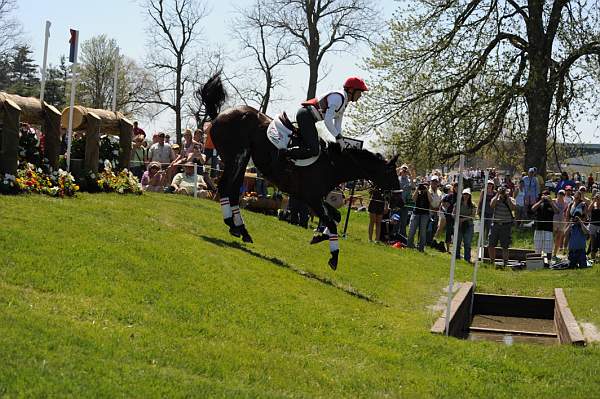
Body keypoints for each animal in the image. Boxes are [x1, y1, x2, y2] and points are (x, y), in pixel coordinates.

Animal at [199, 73, 400, 270]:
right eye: (391, 174)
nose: (400, 201)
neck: (332, 165)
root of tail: (220, 116)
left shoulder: (314, 198)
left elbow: (336, 216)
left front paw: (319, 236)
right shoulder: (312, 199)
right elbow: (332, 223)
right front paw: (333, 256)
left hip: (241, 160)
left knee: (232, 192)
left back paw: (240, 229)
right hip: (235, 157)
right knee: (224, 187)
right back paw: (232, 224)